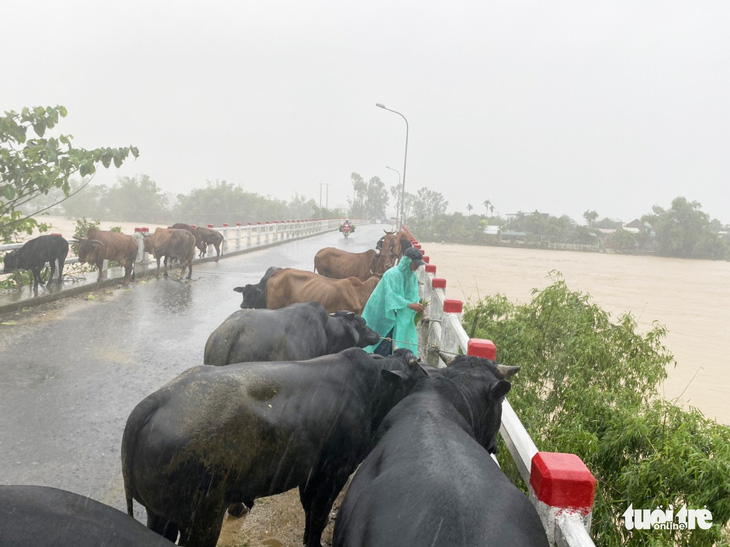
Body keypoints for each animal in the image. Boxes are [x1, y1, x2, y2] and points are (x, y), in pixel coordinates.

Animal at [121, 348, 426, 544]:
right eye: (418, 371)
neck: (369, 387)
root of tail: (160, 397)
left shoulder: (310, 473)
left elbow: (310, 511)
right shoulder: (334, 472)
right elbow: (318, 515)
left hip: (160, 515)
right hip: (202, 520)